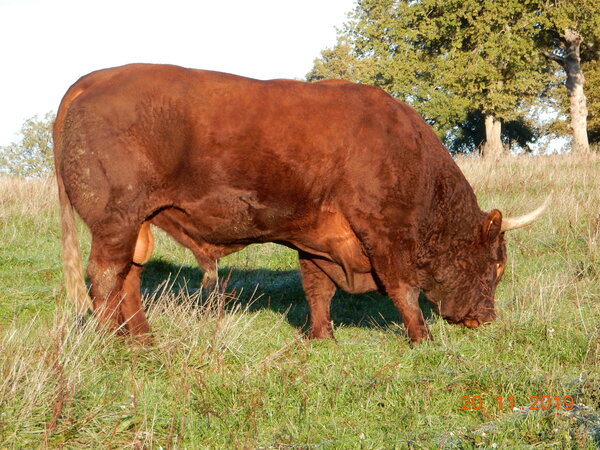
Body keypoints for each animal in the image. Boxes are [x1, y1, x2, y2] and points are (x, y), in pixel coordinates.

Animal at [54, 64, 548, 344]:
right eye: (496, 263)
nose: (486, 318)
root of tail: (90, 81)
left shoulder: (319, 237)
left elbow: (317, 289)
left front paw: (321, 337)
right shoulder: (383, 233)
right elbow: (403, 289)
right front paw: (422, 339)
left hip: (136, 225)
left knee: (129, 279)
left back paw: (140, 341)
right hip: (116, 221)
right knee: (105, 278)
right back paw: (111, 344)